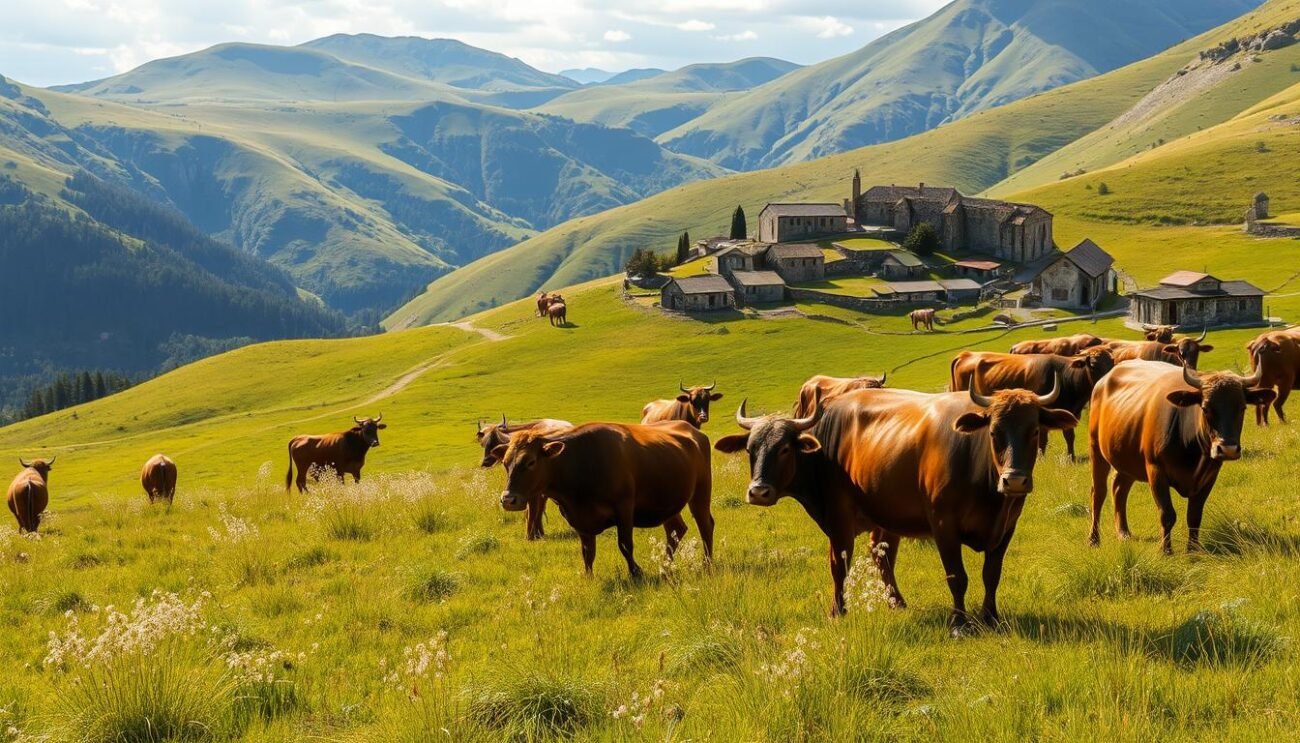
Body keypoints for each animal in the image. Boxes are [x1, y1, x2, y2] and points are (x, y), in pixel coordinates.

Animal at [494, 421, 714, 578]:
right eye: (505, 462)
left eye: (531, 462)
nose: (508, 500)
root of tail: (693, 430)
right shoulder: (578, 518)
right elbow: (587, 551)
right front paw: (588, 577)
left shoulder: (624, 508)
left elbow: (625, 544)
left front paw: (636, 573)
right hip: (668, 502)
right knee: (676, 529)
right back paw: (666, 566)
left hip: (701, 493)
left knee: (705, 525)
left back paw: (707, 564)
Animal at [714, 376, 1077, 634]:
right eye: (994, 432)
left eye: (1034, 431)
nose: (758, 491)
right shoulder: (941, 524)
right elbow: (956, 576)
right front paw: (959, 623)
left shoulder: (1007, 524)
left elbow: (991, 574)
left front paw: (990, 616)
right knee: (851, 561)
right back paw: (851, 607)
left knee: (881, 556)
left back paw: (896, 602)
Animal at [950, 347, 1114, 460]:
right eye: (1093, 365)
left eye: (1112, 363)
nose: (1108, 380)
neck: (1064, 378)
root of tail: (965, 354)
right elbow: (1042, 439)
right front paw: (1040, 458)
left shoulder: (1068, 413)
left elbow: (1069, 436)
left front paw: (1071, 457)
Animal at [1087, 362, 1274, 554]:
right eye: (1205, 408)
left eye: (1242, 407)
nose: (1228, 449)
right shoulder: (1155, 470)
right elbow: (1167, 514)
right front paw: (1166, 551)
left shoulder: (1209, 476)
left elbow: (1194, 515)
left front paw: (1193, 550)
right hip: (1096, 449)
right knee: (1098, 493)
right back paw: (1094, 539)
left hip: (1127, 460)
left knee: (1119, 489)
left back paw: (1124, 533)